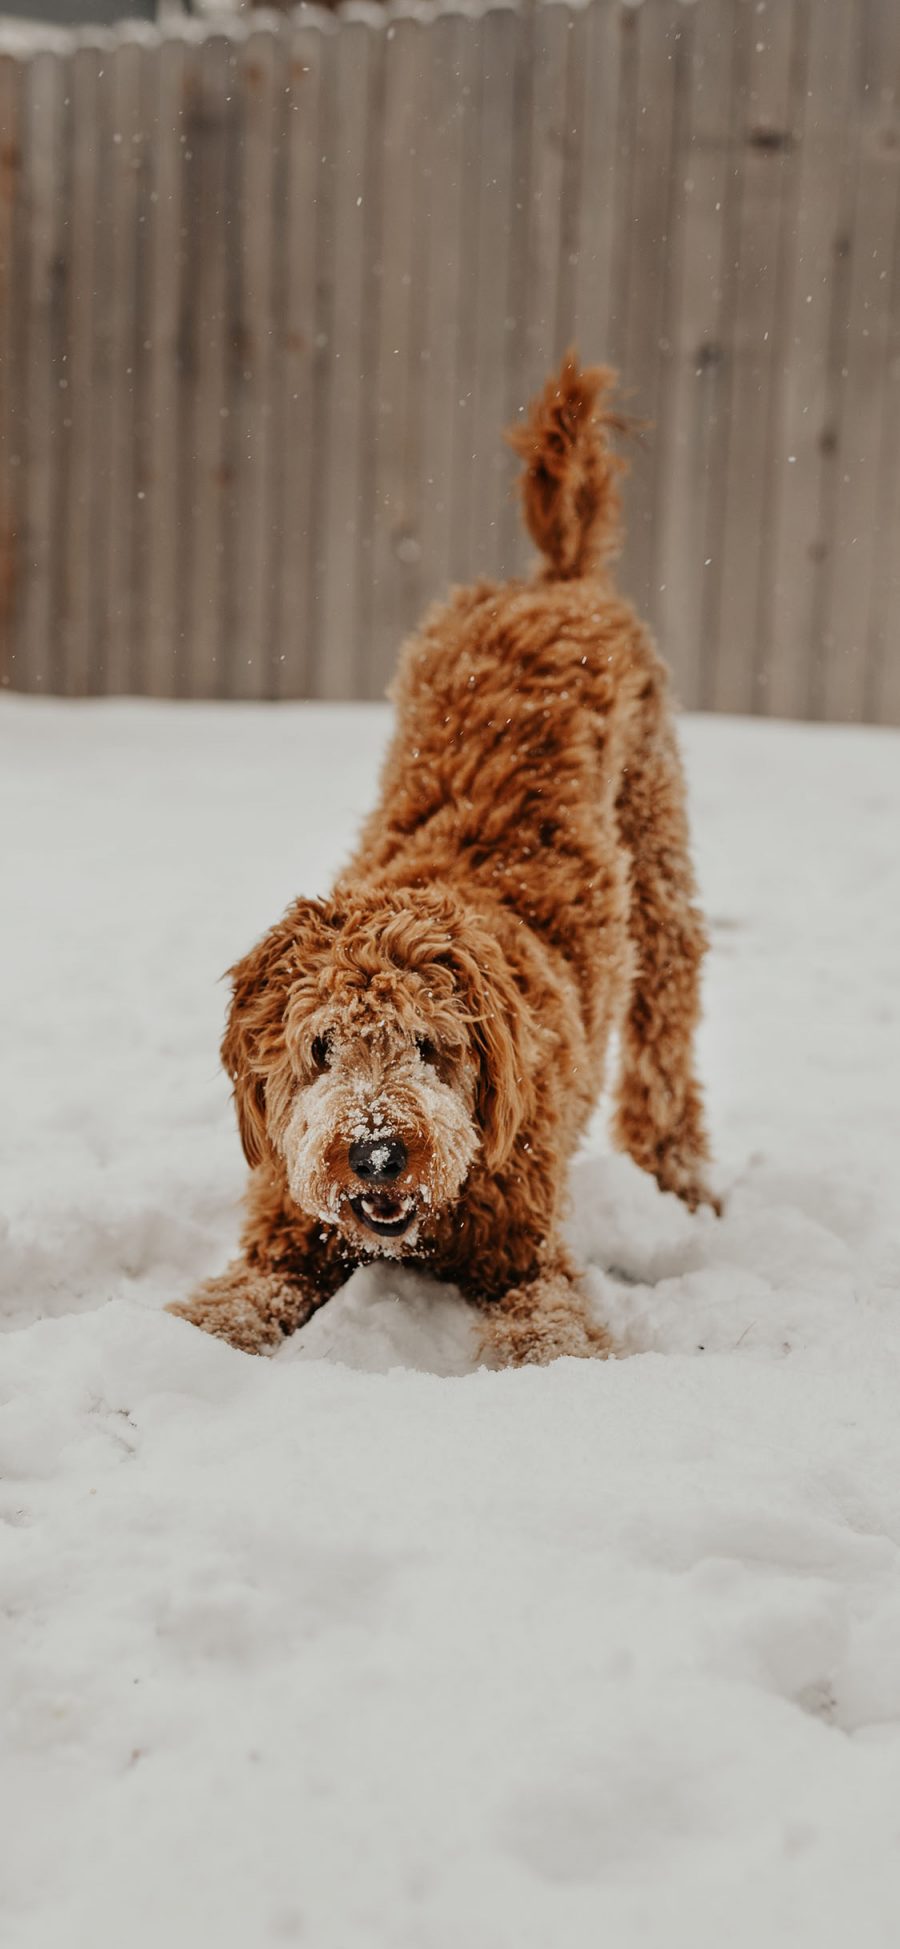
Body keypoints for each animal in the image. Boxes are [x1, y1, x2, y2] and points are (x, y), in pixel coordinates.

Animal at [170, 358, 716, 1372]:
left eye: (430, 1044)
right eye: (321, 1047)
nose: (379, 1152)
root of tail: (555, 579)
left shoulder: (528, 1257)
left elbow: (551, 1334)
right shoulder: (281, 1238)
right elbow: (221, 1308)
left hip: (657, 842)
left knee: (669, 1021)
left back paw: (682, 1178)